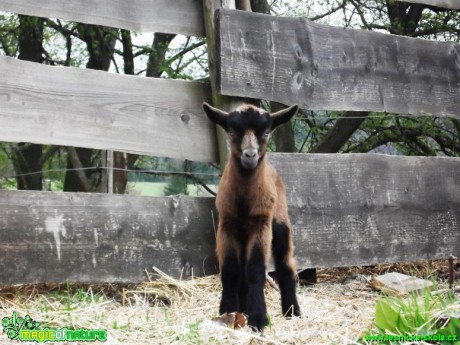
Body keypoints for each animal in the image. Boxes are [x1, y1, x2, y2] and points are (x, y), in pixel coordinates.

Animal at [203, 101, 300, 330]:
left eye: (265, 133)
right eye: (231, 131)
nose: (250, 155)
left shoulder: (261, 224)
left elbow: (255, 272)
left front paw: (258, 318)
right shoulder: (226, 225)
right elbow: (230, 271)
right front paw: (227, 312)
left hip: (280, 222)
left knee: (286, 264)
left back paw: (292, 312)